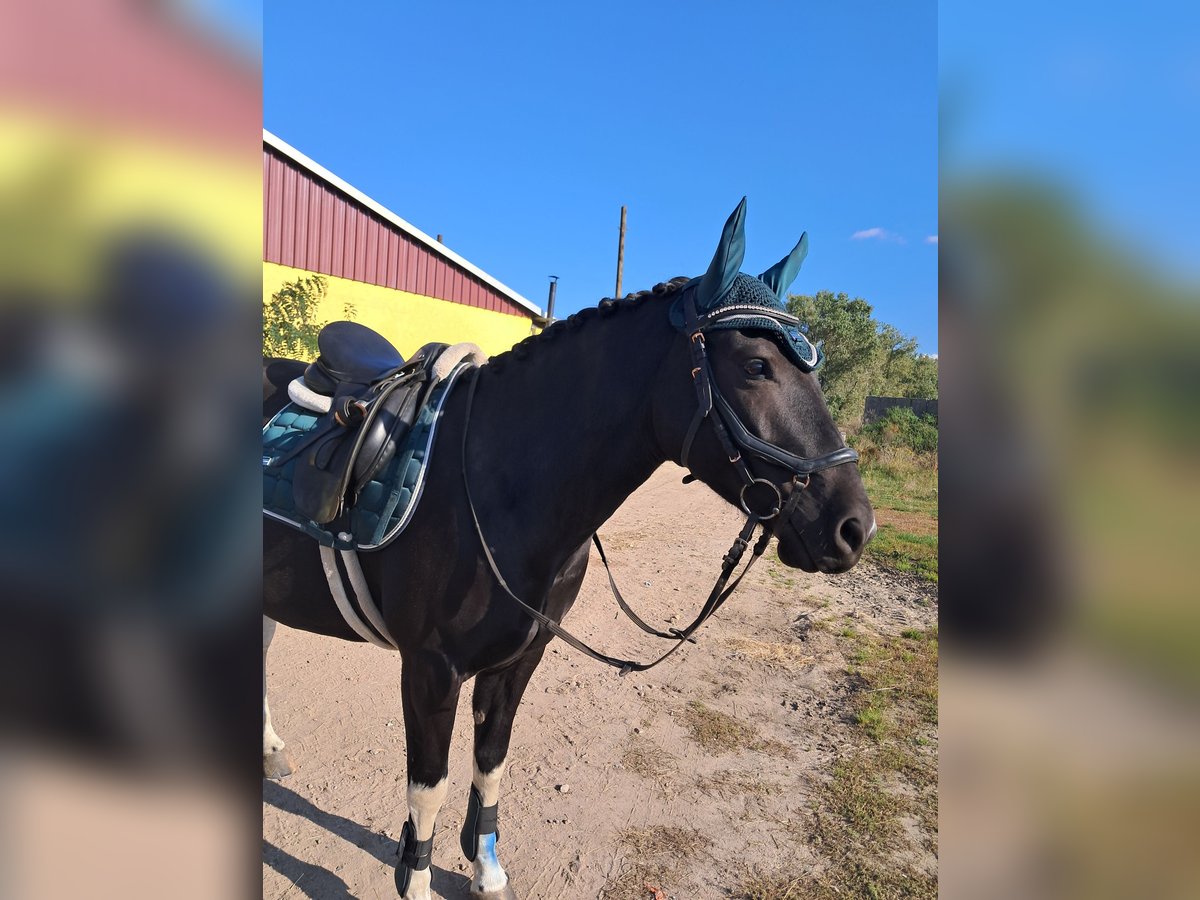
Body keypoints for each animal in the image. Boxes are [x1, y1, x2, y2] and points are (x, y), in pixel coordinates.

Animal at [262, 199, 875, 900]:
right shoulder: (430, 669)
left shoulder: (518, 662)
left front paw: (487, 873)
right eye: (755, 366)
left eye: (813, 367)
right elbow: (429, 792)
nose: (854, 527)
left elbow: (491, 764)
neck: (492, 481)